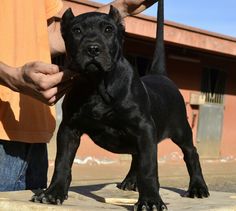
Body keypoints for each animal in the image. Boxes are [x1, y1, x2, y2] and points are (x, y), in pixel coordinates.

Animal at [31, 0, 208, 210]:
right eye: (76, 30)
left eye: (108, 29)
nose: (93, 48)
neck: (97, 84)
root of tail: (160, 75)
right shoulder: (69, 129)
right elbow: (62, 162)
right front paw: (53, 192)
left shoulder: (144, 128)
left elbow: (148, 168)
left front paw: (150, 200)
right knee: (136, 156)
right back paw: (130, 181)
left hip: (181, 131)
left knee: (191, 154)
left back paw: (197, 187)